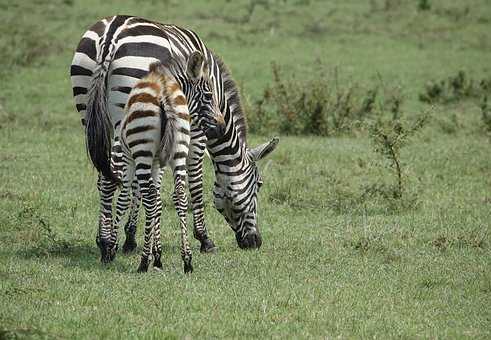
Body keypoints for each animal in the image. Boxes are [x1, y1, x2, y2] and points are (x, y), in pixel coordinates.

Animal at [70, 14, 280, 262]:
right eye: (259, 184)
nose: (255, 242)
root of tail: (112, 33)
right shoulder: (196, 132)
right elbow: (194, 184)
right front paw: (204, 239)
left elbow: (139, 183)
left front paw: (131, 238)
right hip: (126, 110)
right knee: (115, 173)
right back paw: (107, 244)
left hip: (90, 111)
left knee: (105, 175)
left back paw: (103, 240)